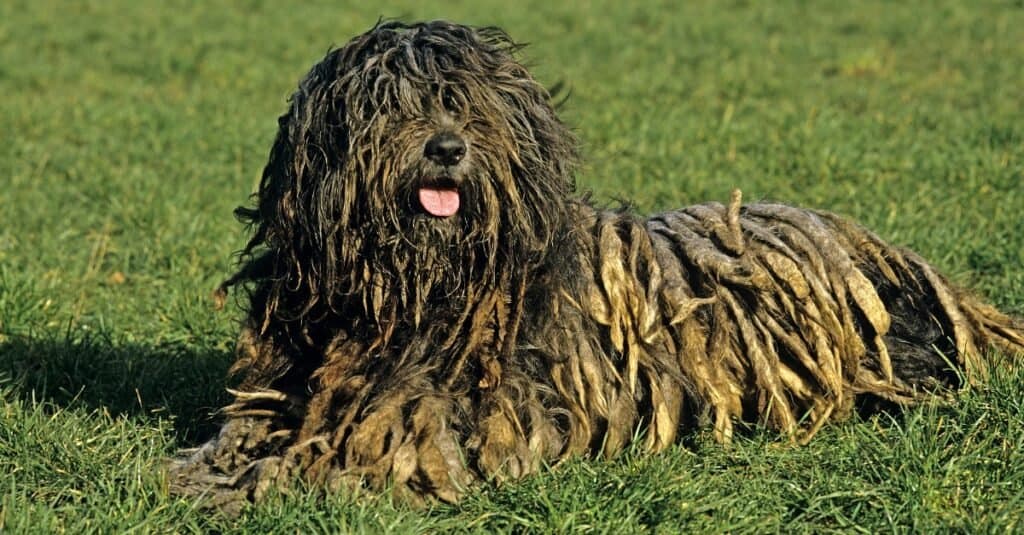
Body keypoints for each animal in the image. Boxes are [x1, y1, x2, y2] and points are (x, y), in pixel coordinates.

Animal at [167, 17, 1024, 508]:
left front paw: (265, 483)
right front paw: (205, 470)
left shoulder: (457, 425)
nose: (446, 148)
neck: (406, 293)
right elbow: (240, 434)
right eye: (391, 105)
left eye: (465, 103)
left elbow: (353, 463)